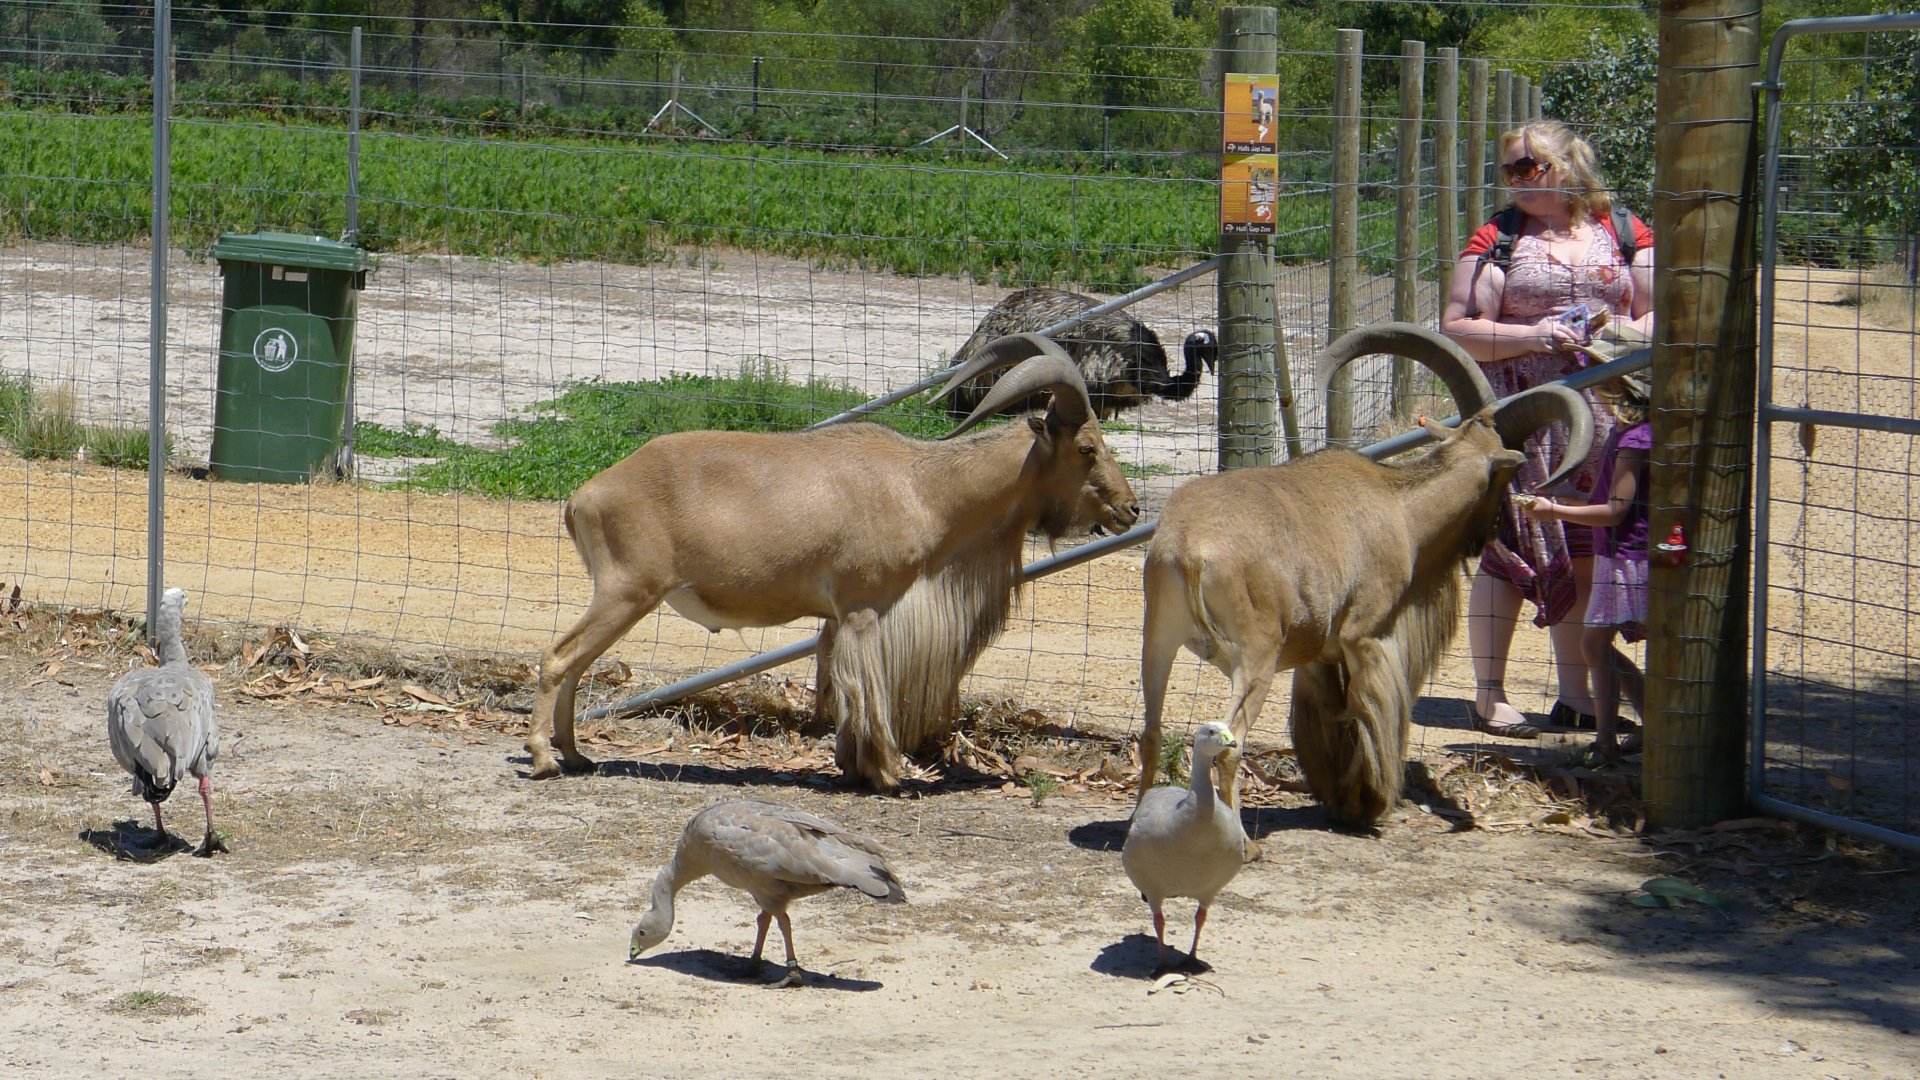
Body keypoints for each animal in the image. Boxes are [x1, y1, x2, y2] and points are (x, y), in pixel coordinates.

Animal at [526, 333, 1139, 789]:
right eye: (1086, 448)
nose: (1131, 509)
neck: (923, 489)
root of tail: (582, 497)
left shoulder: (839, 618)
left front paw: (853, 764)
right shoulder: (864, 607)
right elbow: (864, 688)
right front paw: (885, 771)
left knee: (576, 665)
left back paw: (577, 756)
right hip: (627, 590)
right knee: (558, 658)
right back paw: (544, 758)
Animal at [1136, 323, 1594, 835]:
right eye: (1505, 479)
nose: (1492, 531)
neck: (1401, 508)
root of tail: (1188, 549)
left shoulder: (1318, 655)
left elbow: (1336, 718)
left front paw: (1344, 802)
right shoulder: (1367, 637)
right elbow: (1373, 715)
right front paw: (1374, 804)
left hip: (1159, 639)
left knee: (1151, 733)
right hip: (1256, 656)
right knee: (1230, 747)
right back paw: (1243, 841)